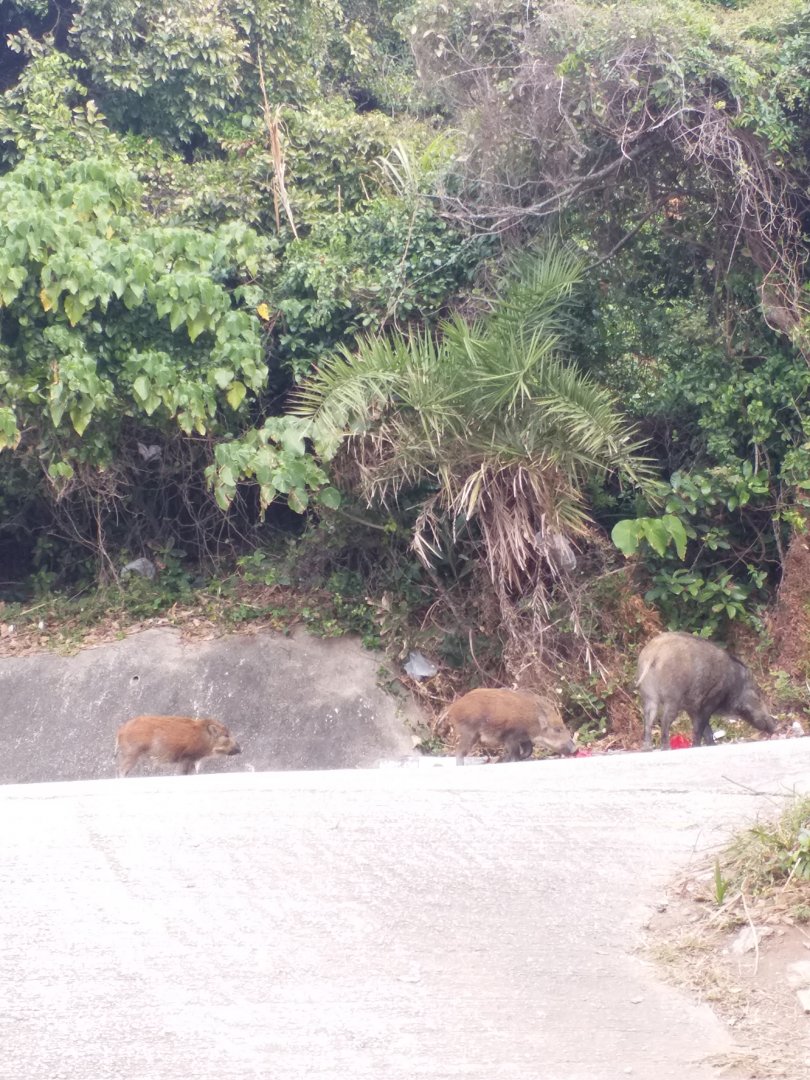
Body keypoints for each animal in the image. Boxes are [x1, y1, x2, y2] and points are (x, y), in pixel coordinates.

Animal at [444, 688, 576, 765]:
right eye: (557, 729)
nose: (575, 749)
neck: (533, 720)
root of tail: (452, 708)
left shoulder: (524, 738)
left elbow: (528, 751)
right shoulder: (510, 736)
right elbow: (515, 752)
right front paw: (507, 761)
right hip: (469, 733)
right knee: (459, 751)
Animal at [636, 632, 776, 750]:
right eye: (758, 696)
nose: (776, 725)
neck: (735, 685)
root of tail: (654, 652)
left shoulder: (692, 708)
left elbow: (706, 729)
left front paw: (712, 745)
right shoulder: (709, 701)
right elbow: (701, 728)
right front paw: (697, 746)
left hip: (649, 695)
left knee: (648, 719)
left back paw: (646, 749)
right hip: (672, 698)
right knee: (664, 720)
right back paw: (666, 748)